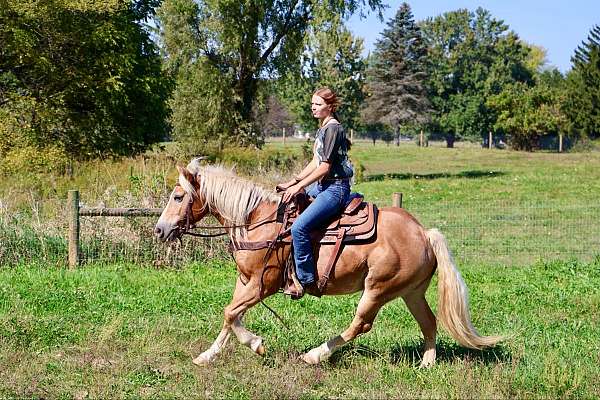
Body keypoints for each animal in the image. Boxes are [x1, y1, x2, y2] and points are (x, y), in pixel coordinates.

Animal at [155, 161, 502, 368]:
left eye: (177, 197)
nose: (159, 230)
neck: (255, 221)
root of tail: (423, 233)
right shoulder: (246, 282)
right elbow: (230, 316)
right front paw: (208, 355)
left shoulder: (262, 284)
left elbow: (230, 314)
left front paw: (257, 345)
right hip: (410, 292)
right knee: (429, 322)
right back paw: (426, 364)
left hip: (377, 288)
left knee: (361, 324)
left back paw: (315, 355)